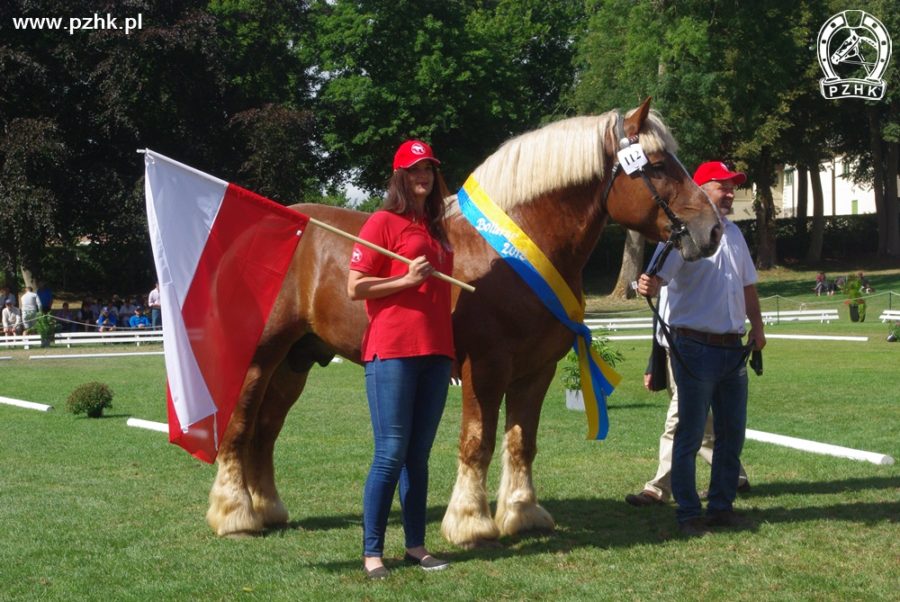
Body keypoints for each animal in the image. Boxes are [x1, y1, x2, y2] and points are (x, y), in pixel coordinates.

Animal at [206, 98, 724, 544]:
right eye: (656, 165)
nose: (713, 230)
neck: (511, 253)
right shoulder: (485, 367)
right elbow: (478, 441)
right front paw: (471, 523)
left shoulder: (537, 370)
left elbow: (521, 441)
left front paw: (522, 513)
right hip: (262, 355)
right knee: (239, 427)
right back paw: (235, 515)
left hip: (296, 361)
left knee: (265, 430)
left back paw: (268, 508)